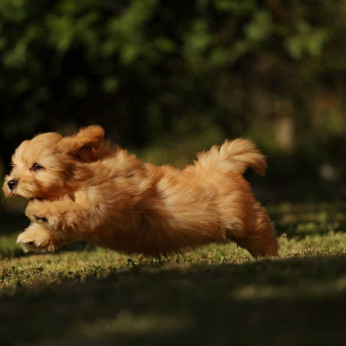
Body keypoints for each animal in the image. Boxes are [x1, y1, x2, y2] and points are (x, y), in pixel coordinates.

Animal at [2, 125, 278, 256]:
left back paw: (270, 252)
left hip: (236, 218)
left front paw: (39, 210)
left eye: (37, 166)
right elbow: (65, 224)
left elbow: (71, 209)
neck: (84, 176)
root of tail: (221, 165)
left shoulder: (103, 205)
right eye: (15, 166)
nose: (11, 183)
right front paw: (34, 236)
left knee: (259, 222)